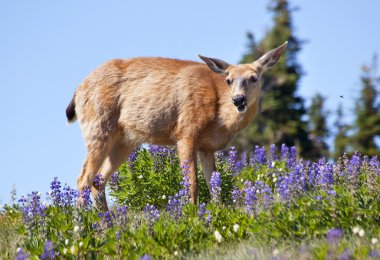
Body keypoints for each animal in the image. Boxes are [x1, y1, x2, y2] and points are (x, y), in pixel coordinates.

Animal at [67, 41, 286, 211]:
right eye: (229, 80)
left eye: (254, 78)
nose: (238, 99)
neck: (220, 118)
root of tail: (78, 90)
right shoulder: (186, 132)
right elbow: (192, 182)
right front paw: (191, 214)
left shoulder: (207, 146)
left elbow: (214, 183)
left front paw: (218, 212)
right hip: (98, 126)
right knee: (83, 178)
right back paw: (82, 225)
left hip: (124, 141)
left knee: (98, 180)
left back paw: (107, 223)